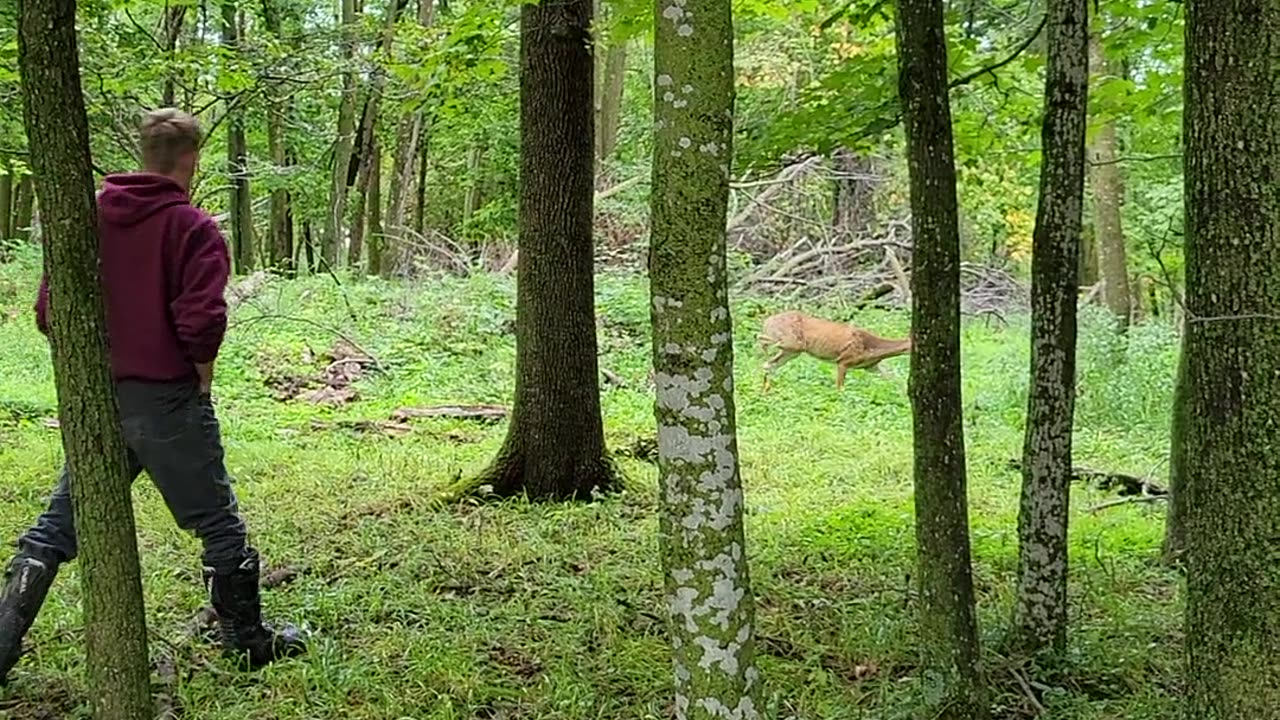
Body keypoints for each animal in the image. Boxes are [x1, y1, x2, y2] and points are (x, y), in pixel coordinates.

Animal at [757, 307, 911, 389]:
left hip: (791, 352)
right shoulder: (843, 360)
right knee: (761, 339)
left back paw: (766, 388)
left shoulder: (871, 366)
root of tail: (768, 320)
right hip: (793, 343)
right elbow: (840, 387)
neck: (872, 348)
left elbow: (894, 378)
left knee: (770, 364)